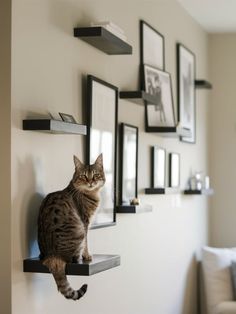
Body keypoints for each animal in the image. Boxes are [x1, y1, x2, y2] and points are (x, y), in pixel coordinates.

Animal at [37, 153, 105, 300]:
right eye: (84, 176)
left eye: (96, 175)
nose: (90, 182)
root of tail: (53, 256)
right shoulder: (85, 222)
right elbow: (86, 243)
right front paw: (87, 256)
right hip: (79, 230)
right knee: (73, 256)